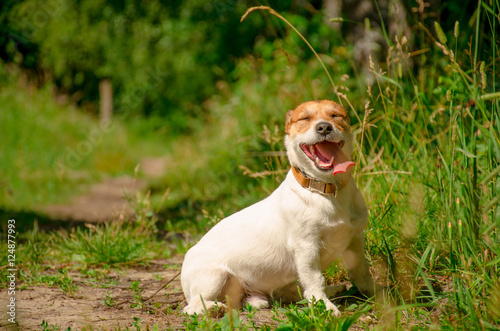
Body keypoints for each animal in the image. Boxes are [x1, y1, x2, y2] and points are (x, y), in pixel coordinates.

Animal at [182, 99, 376, 316]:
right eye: (305, 118)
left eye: (336, 115)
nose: (324, 127)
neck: (327, 191)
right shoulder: (306, 247)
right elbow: (315, 279)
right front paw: (324, 307)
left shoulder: (354, 240)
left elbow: (361, 273)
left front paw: (378, 296)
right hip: (213, 277)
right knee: (192, 306)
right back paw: (215, 308)